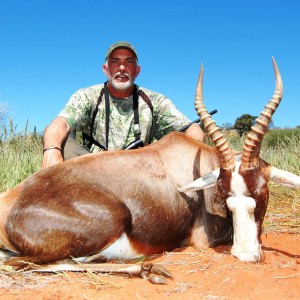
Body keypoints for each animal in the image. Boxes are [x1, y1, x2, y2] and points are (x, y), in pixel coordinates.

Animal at [0, 56, 300, 284]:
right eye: (226, 197)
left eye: (262, 193)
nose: (245, 255)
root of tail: (11, 201)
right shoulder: (204, 239)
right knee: (23, 264)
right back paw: (149, 269)